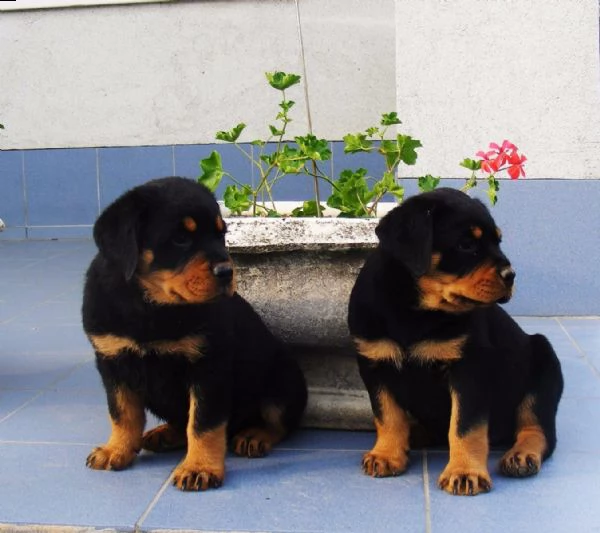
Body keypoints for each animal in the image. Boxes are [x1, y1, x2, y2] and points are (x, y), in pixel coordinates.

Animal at [82, 178, 308, 490]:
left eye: (221, 234)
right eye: (180, 238)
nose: (227, 272)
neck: (149, 305)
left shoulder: (208, 366)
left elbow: (203, 423)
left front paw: (200, 468)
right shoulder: (111, 362)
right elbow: (122, 413)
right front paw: (116, 450)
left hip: (283, 377)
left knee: (279, 420)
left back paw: (255, 435)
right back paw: (164, 434)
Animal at [346, 187, 564, 494]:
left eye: (498, 241)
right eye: (466, 245)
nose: (511, 275)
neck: (414, 309)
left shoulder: (469, 368)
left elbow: (465, 426)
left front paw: (464, 472)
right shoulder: (374, 363)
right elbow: (387, 414)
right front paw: (387, 454)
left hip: (544, 364)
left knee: (538, 429)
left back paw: (521, 456)